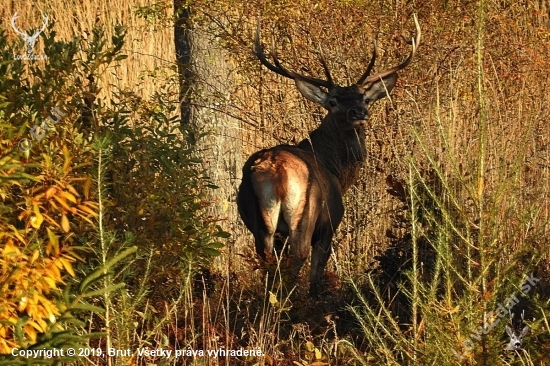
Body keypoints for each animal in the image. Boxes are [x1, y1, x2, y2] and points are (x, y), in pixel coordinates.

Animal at [237, 16, 422, 298]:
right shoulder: (329, 224)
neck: (337, 172)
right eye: (333, 101)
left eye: (364, 98)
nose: (358, 112)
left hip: (258, 222)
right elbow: (317, 274)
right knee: (299, 255)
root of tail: (275, 171)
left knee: (266, 259)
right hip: (305, 213)